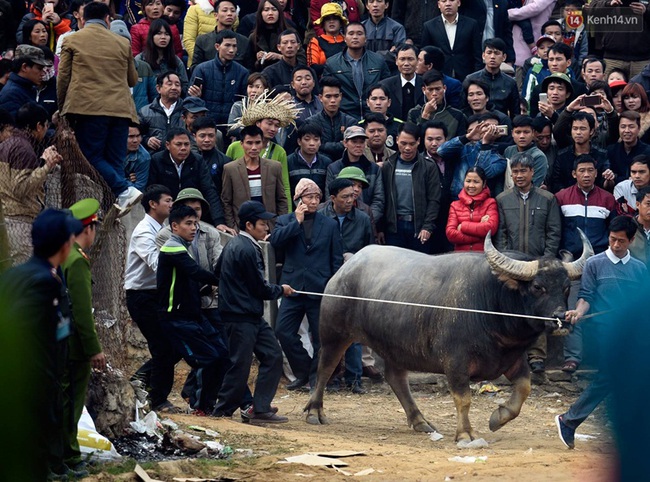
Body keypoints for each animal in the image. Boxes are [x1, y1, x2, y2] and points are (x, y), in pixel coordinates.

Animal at [304, 231, 592, 440]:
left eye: (566, 287)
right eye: (537, 287)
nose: (562, 318)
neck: (489, 301)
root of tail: (347, 267)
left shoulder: (512, 359)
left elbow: (524, 388)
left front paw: (497, 418)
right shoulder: (455, 362)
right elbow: (463, 399)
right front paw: (465, 434)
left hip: (396, 346)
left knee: (396, 378)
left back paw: (420, 421)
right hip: (334, 333)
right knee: (325, 368)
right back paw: (314, 411)